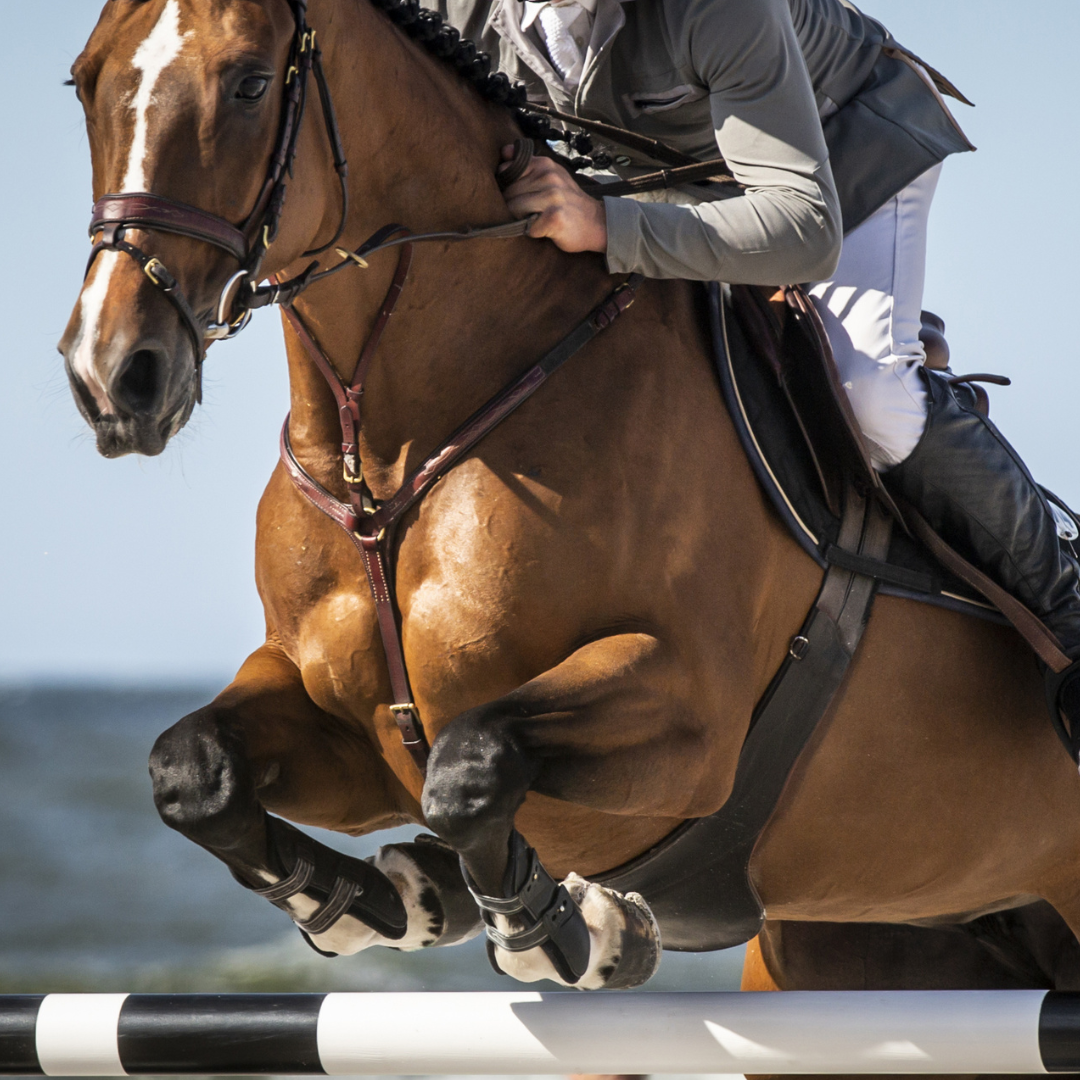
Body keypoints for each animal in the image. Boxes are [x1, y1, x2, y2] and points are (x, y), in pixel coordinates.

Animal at [60, 0, 1080, 995]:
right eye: (83, 81)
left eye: (249, 83)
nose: (112, 375)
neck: (389, 452)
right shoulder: (345, 727)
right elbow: (192, 770)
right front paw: (384, 901)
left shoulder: (689, 718)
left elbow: (472, 765)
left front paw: (565, 931)